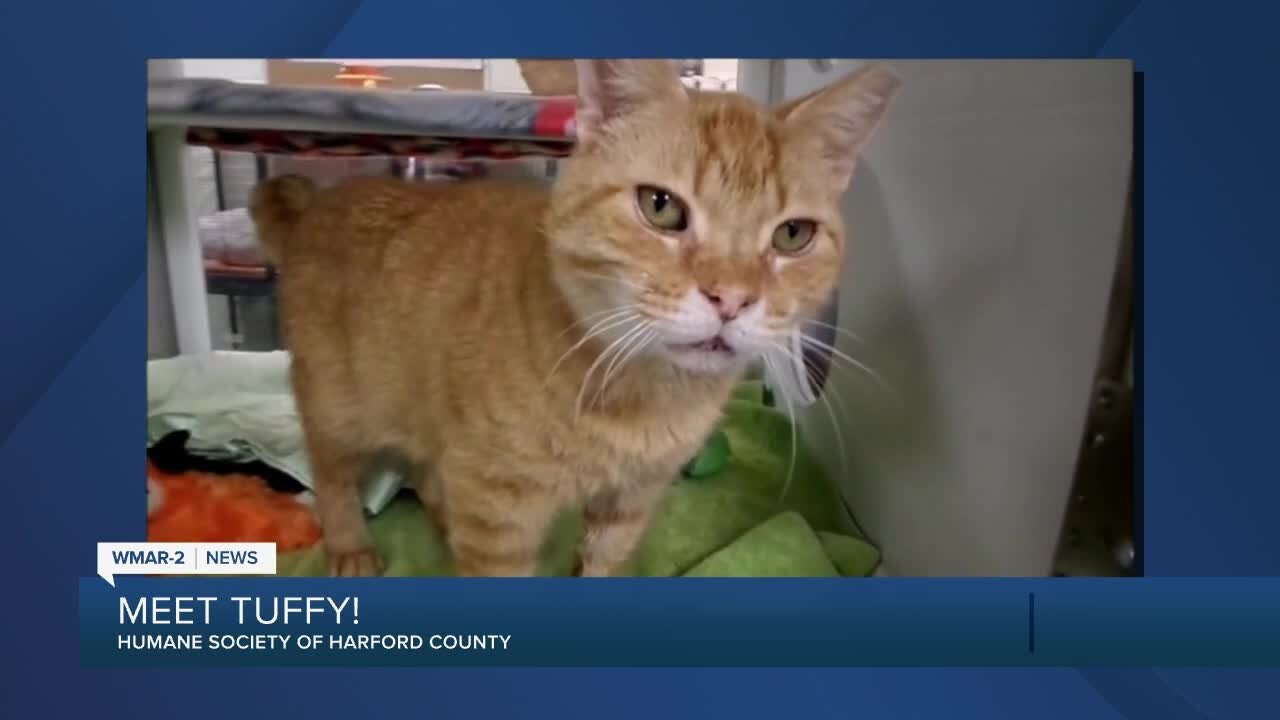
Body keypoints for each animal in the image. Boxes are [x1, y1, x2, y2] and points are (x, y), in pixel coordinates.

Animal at [249, 58, 901, 573]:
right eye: (661, 207)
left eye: (793, 235)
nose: (732, 299)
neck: (638, 395)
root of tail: (314, 207)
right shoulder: (498, 513)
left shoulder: (628, 504)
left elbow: (601, 563)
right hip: (338, 407)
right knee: (333, 473)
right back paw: (350, 546)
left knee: (430, 472)